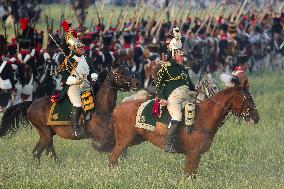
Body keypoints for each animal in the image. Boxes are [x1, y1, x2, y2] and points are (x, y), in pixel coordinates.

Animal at [0, 64, 140, 162]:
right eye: (121, 72)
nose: (137, 82)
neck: (100, 109)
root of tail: (31, 104)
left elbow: (122, 147)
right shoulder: (100, 139)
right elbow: (112, 147)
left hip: (47, 134)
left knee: (39, 152)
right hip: (45, 132)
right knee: (46, 151)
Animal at [106, 83, 260, 176]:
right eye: (247, 97)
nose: (256, 117)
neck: (204, 116)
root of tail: (117, 108)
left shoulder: (196, 156)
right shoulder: (193, 154)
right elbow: (188, 175)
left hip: (133, 140)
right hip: (123, 141)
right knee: (112, 158)